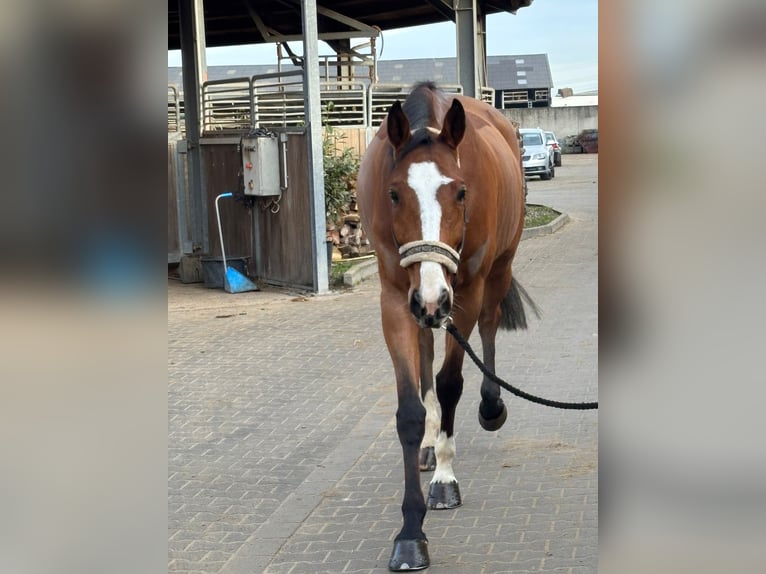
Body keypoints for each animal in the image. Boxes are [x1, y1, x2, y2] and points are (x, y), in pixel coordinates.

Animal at [357, 81, 537, 571]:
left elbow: (452, 382)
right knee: (425, 355)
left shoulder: (467, 292)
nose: (434, 299)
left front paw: (443, 479)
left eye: (460, 193)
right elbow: (410, 409)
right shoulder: (396, 299)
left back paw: (490, 406)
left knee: (490, 328)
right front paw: (410, 534)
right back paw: (428, 443)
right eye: (394, 194)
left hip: (496, 272)